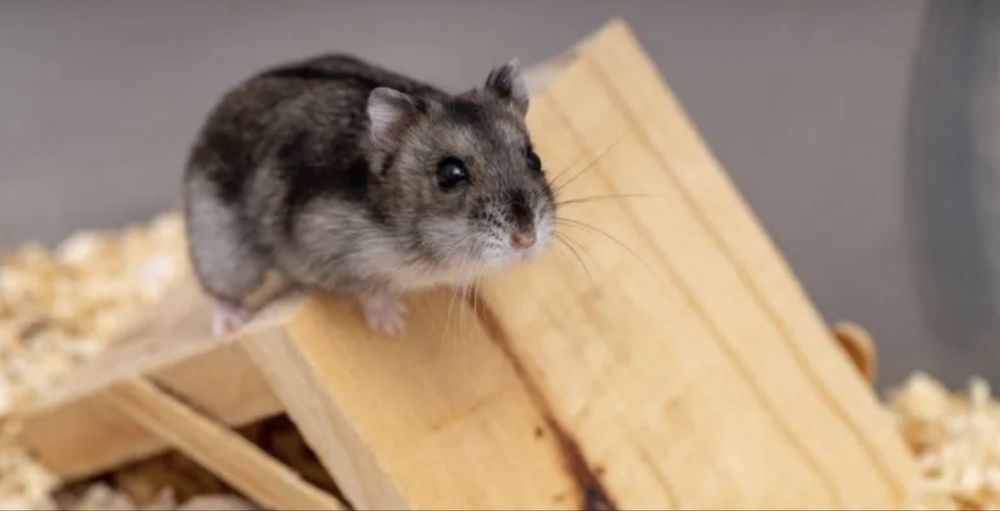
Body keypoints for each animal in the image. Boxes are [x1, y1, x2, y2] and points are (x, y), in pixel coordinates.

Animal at [183, 54, 555, 335]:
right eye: (450, 174)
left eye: (534, 158)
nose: (527, 240)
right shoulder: (325, 247)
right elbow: (367, 286)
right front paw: (392, 324)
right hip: (223, 252)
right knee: (222, 290)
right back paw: (230, 324)